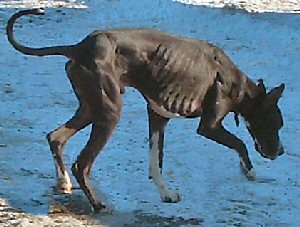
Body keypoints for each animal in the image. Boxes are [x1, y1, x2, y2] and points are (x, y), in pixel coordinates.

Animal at [5, 8, 284, 211]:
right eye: (276, 124)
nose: (281, 152)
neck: (240, 84)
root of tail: (80, 47)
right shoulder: (209, 126)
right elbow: (240, 143)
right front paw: (248, 170)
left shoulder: (158, 117)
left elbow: (155, 163)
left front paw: (166, 194)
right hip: (109, 115)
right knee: (81, 164)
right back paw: (97, 204)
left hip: (90, 109)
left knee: (55, 137)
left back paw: (63, 181)